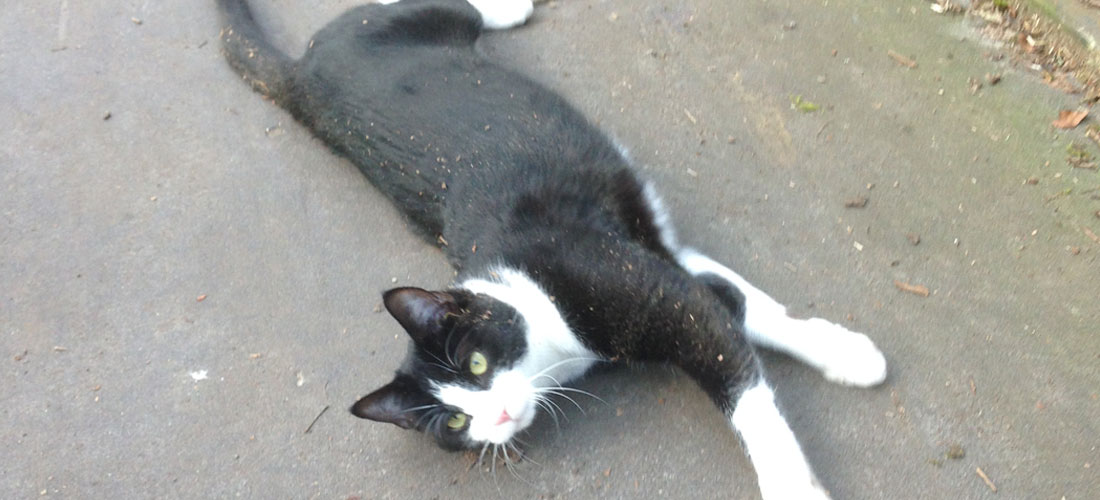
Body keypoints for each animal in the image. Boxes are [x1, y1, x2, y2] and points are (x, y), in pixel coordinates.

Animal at [216, 1, 893, 498]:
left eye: (476, 364)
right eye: (455, 424)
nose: (495, 418)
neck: (543, 325)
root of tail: (301, 76)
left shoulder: (645, 282)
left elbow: (747, 365)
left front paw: (833, 380)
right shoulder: (660, 264)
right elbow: (735, 308)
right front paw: (846, 355)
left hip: (408, 22)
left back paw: (507, 6)